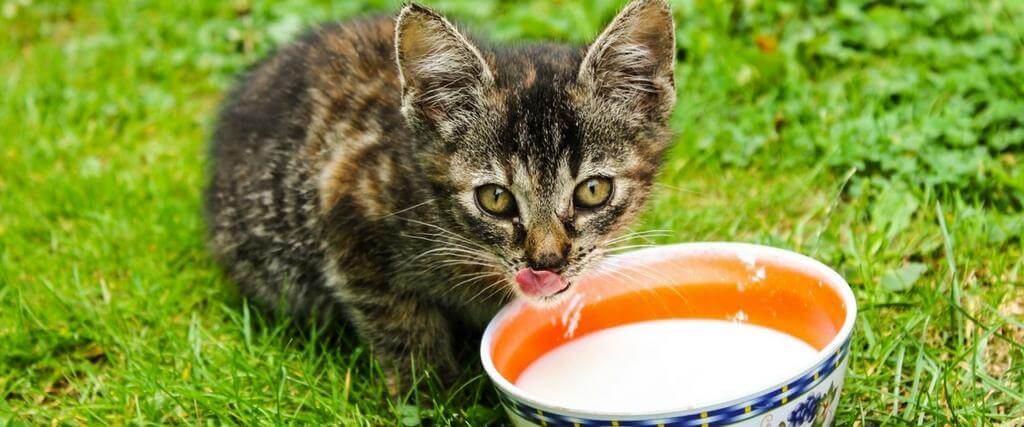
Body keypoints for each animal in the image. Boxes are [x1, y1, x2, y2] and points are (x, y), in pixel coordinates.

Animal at [203, 0, 675, 382]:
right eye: (495, 198)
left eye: (593, 190)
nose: (546, 262)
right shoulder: (349, 208)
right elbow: (401, 325)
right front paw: (433, 393)